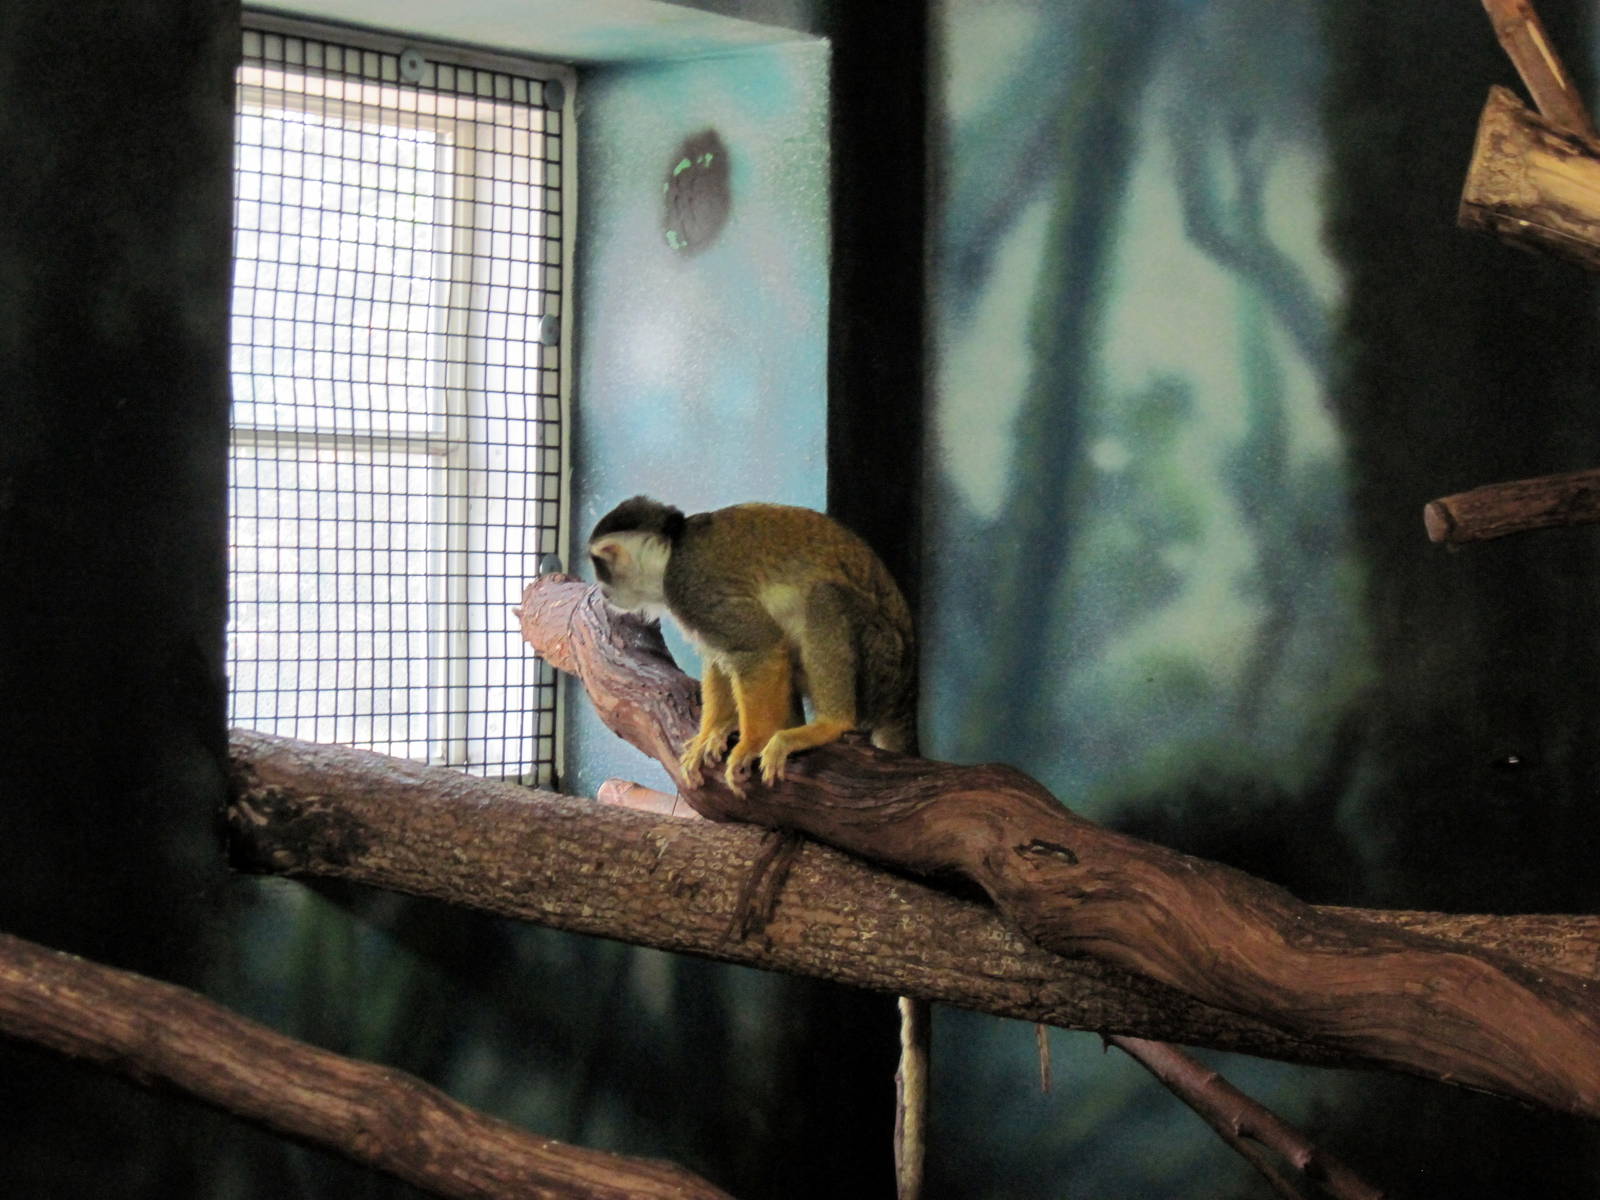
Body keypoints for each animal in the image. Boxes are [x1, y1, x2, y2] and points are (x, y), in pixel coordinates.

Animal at [587, 496, 918, 792]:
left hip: (882, 661)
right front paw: (711, 731)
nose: (602, 590)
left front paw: (751, 742)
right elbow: (719, 655)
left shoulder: (690, 586)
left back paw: (829, 724)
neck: (673, 553)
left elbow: (759, 647)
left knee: (824, 598)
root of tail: (904, 696)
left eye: (601, 566)